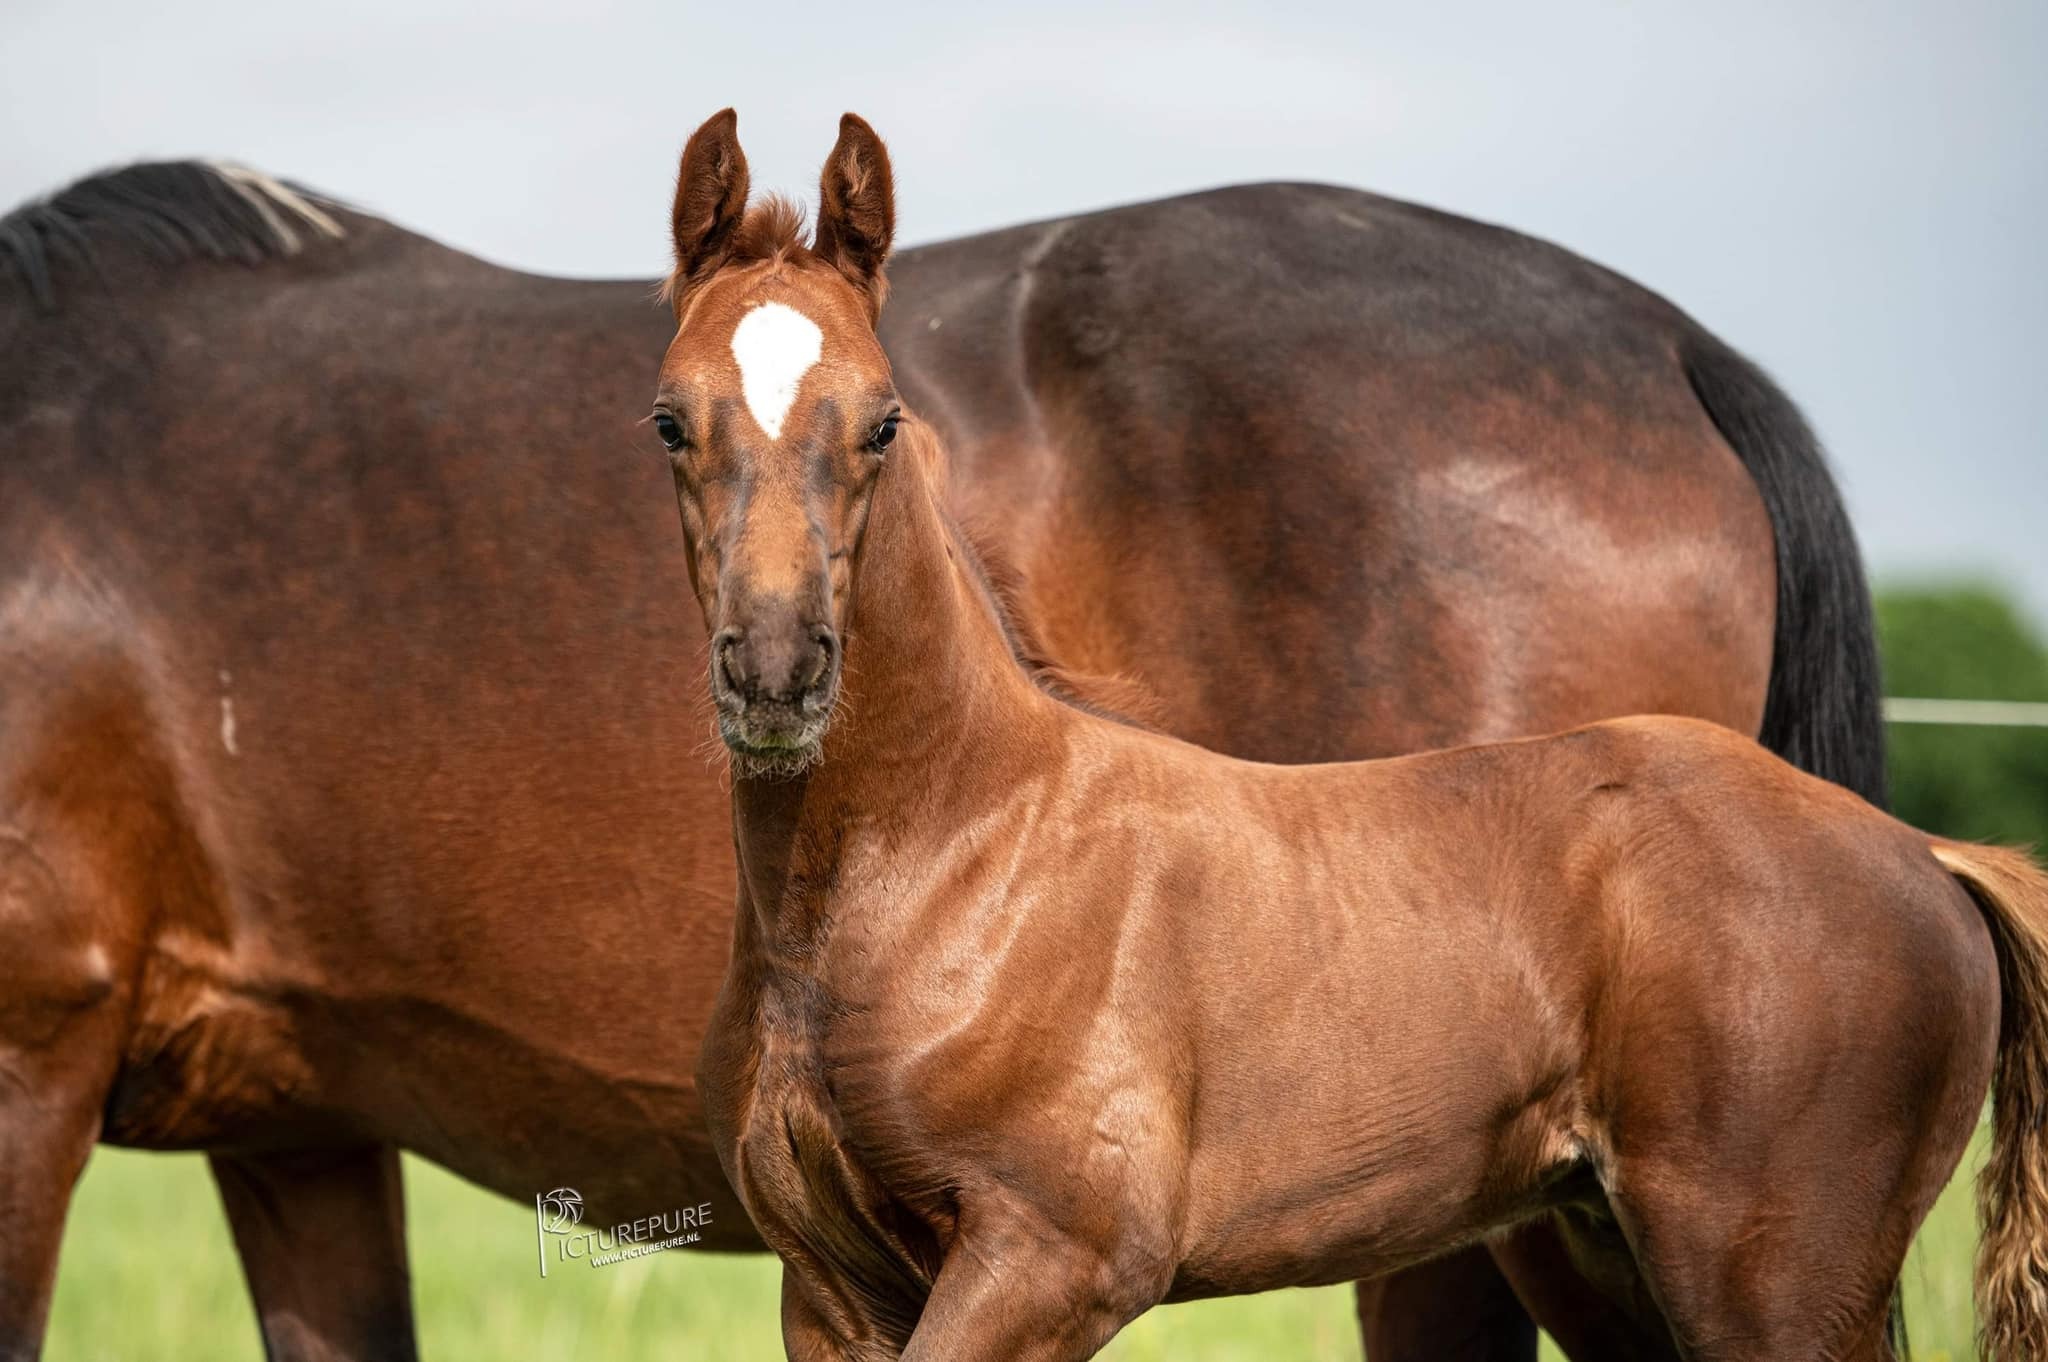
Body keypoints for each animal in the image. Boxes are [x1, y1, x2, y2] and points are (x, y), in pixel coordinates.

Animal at [651, 119, 2048, 1359]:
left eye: (883, 419)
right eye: (668, 418)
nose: (774, 673)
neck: (957, 856)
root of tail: (1929, 857)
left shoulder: (1051, 1259)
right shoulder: (831, 1290)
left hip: (1770, 1280)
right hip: (1605, 1248)